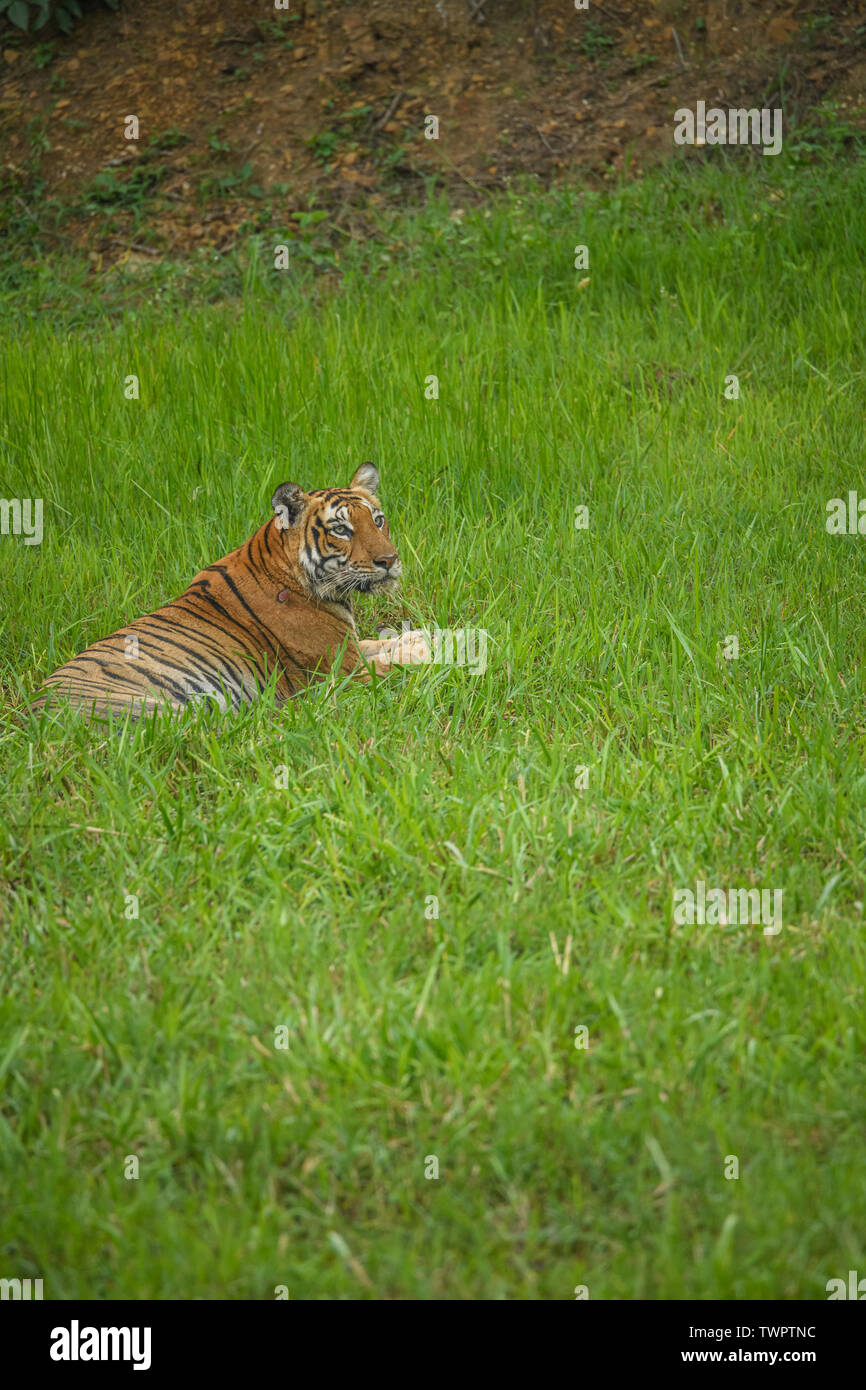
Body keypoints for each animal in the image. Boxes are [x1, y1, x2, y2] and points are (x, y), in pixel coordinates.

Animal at [30, 461, 430, 722]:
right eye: (342, 530)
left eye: (377, 520)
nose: (389, 560)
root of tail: (33, 719)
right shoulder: (342, 669)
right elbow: (402, 662)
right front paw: (436, 650)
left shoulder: (351, 647)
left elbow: (386, 643)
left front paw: (425, 636)